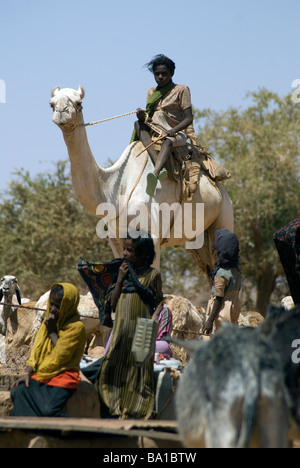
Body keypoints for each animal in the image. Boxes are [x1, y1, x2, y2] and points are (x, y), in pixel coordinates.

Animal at [49, 87, 234, 274]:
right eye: (51, 103)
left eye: (79, 103)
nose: (61, 112)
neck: (116, 192)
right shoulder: (115, 238)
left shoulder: (152, 234)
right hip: (198, 238)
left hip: (224, 214)